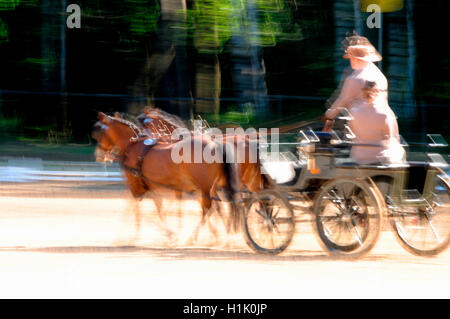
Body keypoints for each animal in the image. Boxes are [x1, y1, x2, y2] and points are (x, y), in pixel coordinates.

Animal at [93, 112, 237, 245]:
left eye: (100, 132)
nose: (98, 155)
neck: (132, 145)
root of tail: (215, 144)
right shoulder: (152, 186)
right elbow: (158, 209)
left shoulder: (136, 186)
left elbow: (137, 208)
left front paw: (131, 235)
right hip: (208, 187)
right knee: (214, 207)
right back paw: (222, 236)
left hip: (204, 187)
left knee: (207, 208)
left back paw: (193, 237)